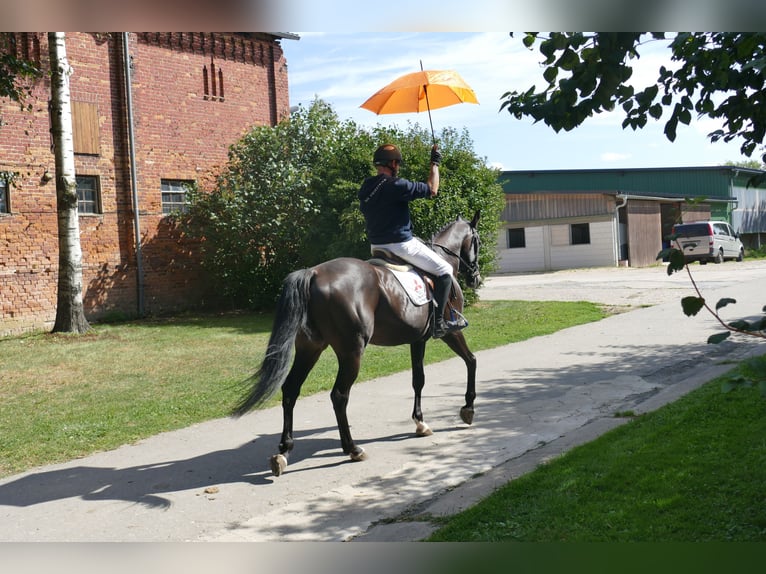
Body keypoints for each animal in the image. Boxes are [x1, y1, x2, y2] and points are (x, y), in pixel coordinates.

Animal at [233, 211, 482, 476]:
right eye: (477, 240)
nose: (475, 278)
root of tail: (314, 273)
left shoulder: (417, 340)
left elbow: (418, 379)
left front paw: (420, 423)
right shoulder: (450, 333)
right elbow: (471, 360)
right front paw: (468, 408)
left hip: (310, 348)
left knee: (291, 390)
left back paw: (283, 451)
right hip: (351, 352)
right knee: (339, 396)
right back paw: (352, 449)